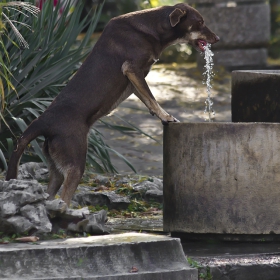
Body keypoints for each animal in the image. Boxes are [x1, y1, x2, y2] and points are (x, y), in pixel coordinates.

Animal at [6, 3, 219, 205]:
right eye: (200, 22)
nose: (217, 38)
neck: (155, 26)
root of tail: (43, 122)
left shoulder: (134, 80)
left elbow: (147, 98)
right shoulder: (132, 69)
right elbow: (151, 97)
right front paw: (166, 116)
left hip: (57, 168)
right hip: (75, 163)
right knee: (65, 197)